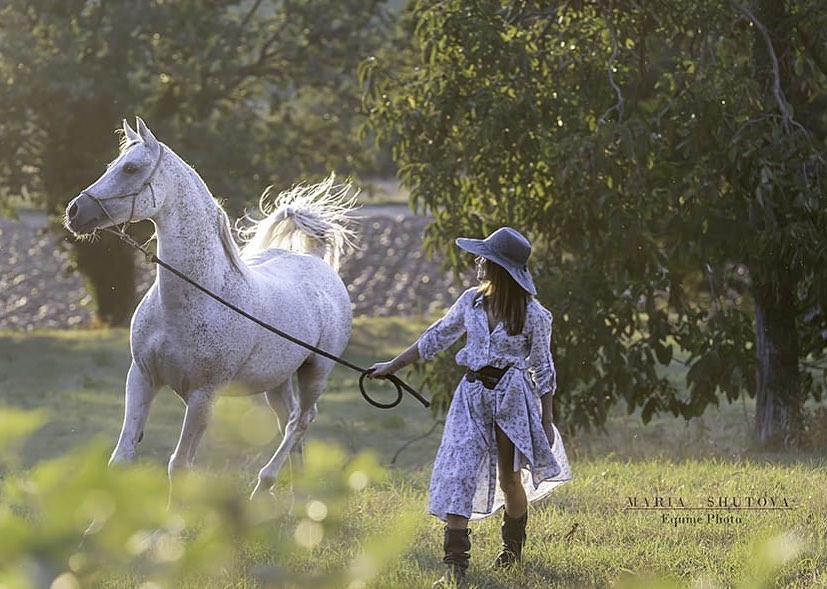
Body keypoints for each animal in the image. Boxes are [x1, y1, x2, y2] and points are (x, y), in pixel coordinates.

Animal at [62, 117, 352, 494]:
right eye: (112, 165)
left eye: (130, 168)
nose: (74, 211)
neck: (188, 302)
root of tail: (315, 261)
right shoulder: (141, 377)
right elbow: (122, 458)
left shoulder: (204, 395)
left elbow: (179, 465)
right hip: (277, 381)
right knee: (290, 427)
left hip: (316, 372)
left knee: (300, 421)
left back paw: (264, 484)